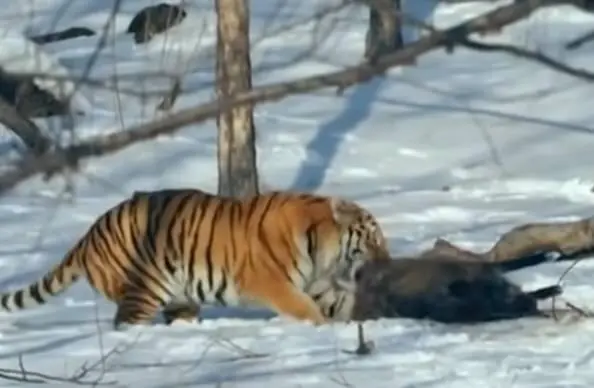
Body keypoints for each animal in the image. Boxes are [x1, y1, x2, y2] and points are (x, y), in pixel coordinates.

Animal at [0, 188, 388, 330]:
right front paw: (320, 328)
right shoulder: (274, 282)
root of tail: (86, 236)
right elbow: (304, 308)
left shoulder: (320, 283)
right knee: (125, 322)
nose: (386, 260)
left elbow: (341, 304)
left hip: (179, 295)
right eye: (373, 238)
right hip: (144, 289)